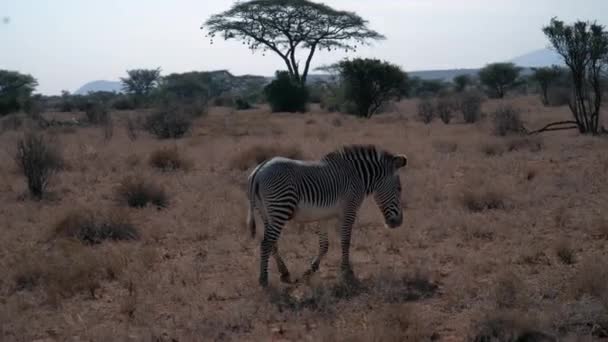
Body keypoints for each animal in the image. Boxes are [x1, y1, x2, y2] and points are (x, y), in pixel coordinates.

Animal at [245, 143, 406, 288]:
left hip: (267, 213)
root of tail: (259, 170)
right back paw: (264, 279)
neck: (357, 176)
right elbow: (345, 241)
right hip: (280, 208)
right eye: (399, 188)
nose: (399, 222)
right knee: (266, 243)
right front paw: (347, 272)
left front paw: (311, 270)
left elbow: (324, 245)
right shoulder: (349, 210)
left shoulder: (323, 216)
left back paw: (284, 273)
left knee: (272, 243)